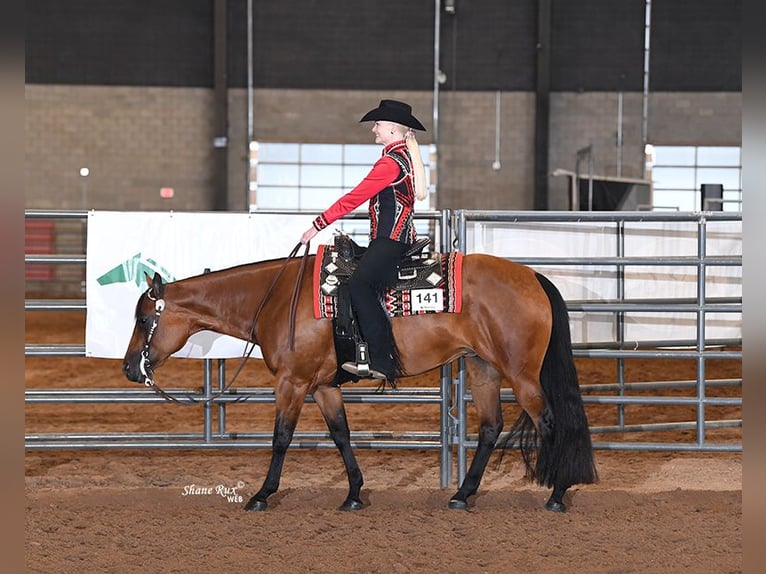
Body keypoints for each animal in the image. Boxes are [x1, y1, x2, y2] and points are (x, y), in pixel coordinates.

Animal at [122, 249, 598, 512]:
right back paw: (462, 495)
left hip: (522, 374)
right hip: (483, 368)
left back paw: (557, 494)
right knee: (490, 428)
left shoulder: (293, 383)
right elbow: (341, 435)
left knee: (550, 423)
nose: (130, 369)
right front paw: (353, 494)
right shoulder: (323, 386)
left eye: (144, 319)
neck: (276, 298)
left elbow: (281, 437)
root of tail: (531, 276)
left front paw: (262, 495)